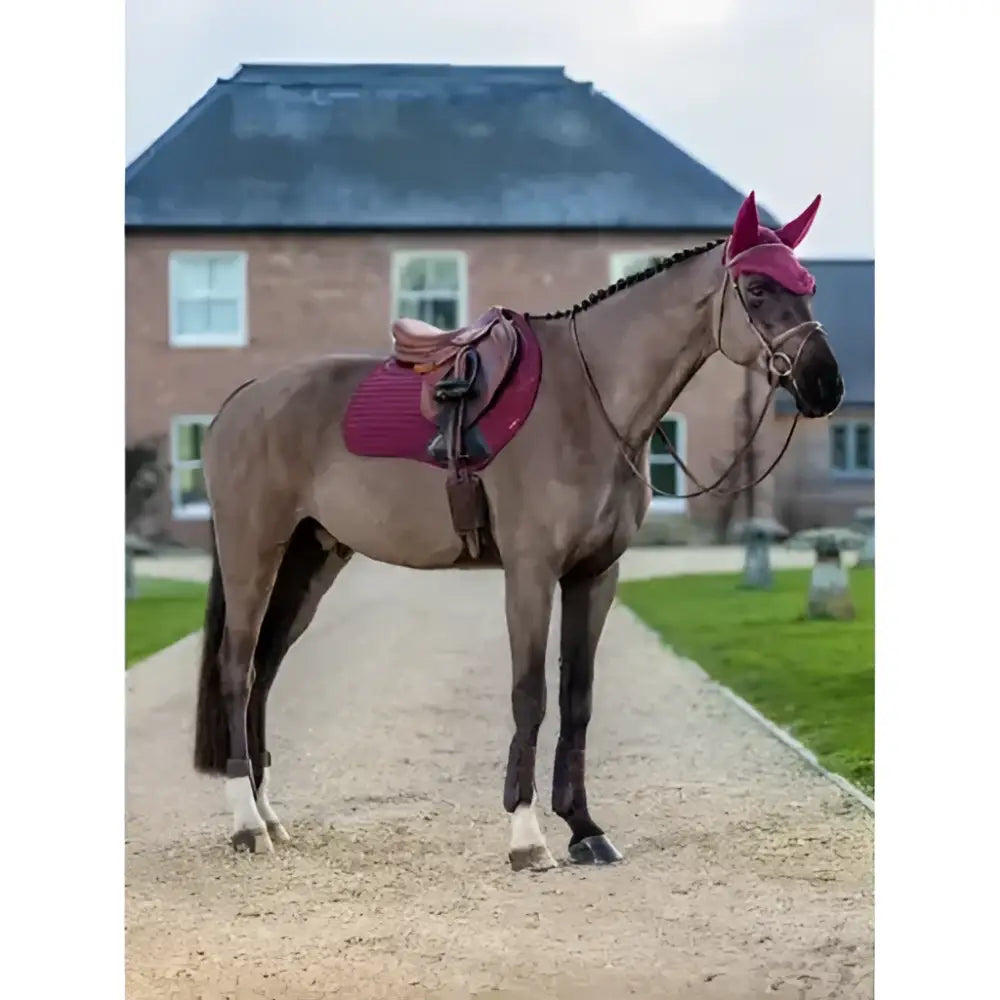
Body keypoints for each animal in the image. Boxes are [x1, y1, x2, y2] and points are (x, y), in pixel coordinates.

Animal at [192, 190, 844, 870]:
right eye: (757, 289)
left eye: (808, 285)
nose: (825, 384)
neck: (587, 401)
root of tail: (242, 399)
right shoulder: (531, 573)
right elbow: (529, 693)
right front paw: (528, 836)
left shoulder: (595, 575)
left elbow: (577, 697)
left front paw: (584, 828)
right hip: (252, 554)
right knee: (237, 668)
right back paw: (246, 824)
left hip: (309, 559)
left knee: (265, 670)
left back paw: (268, 815)